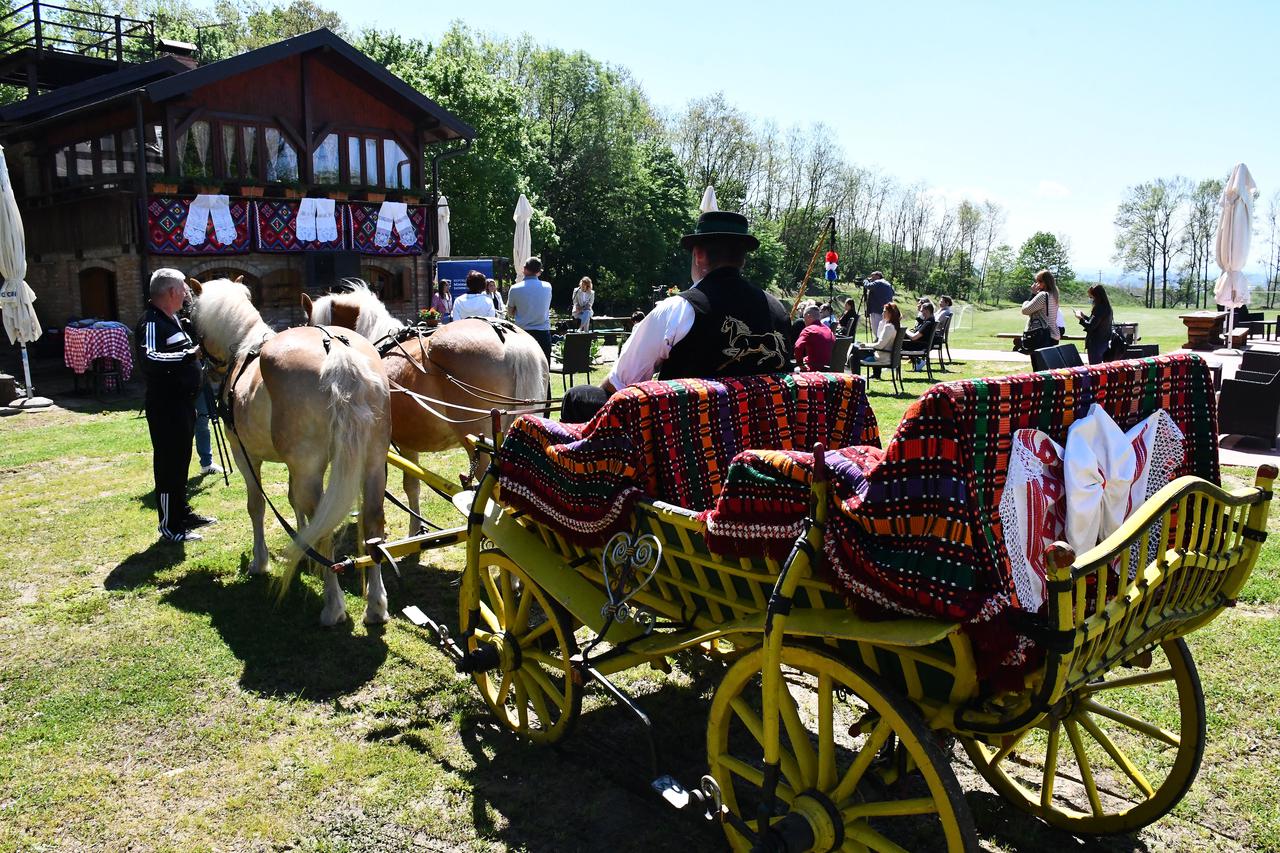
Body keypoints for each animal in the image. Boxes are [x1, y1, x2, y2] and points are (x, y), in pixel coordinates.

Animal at [186, 279, 391, 625]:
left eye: (192, 322)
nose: (207, 369)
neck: (245, 349)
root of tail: (336, 350)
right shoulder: (295, 466)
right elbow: (295, 502)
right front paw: (302, 550)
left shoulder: (246, 455)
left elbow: (256, 506)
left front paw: (260, 562)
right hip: (374, 462)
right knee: (372, 521)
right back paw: (376, 606)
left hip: (310, 467)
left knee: (326, 529)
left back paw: (333, 607)